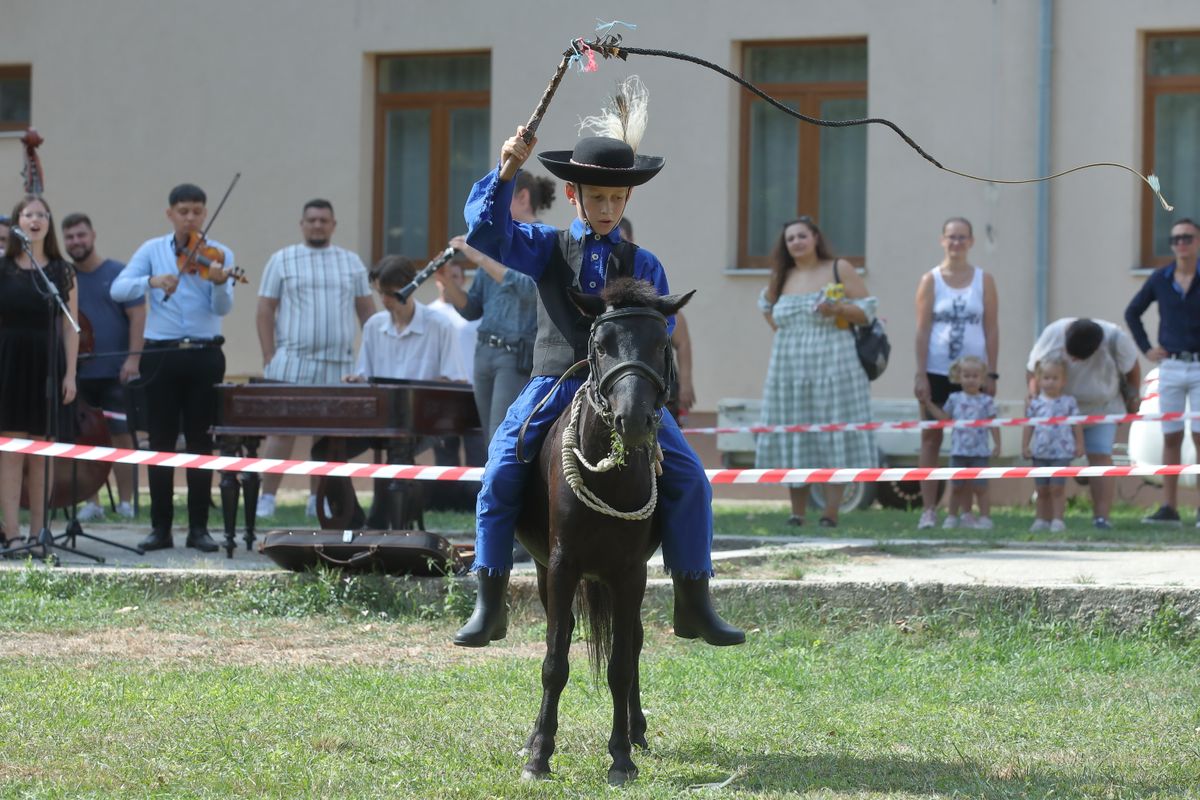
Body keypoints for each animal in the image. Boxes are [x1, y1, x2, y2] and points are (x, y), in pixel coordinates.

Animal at [516, 278, 696, 786]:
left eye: (661, 344)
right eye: (601, 344)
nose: (632, 420)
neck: (609, 477)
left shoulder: (630, 572)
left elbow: (620, 665)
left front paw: (620, 757)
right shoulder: (561, 567)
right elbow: (555, 661)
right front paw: (540, 754)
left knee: (631, 643)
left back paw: (636, 731)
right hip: (548, 574)